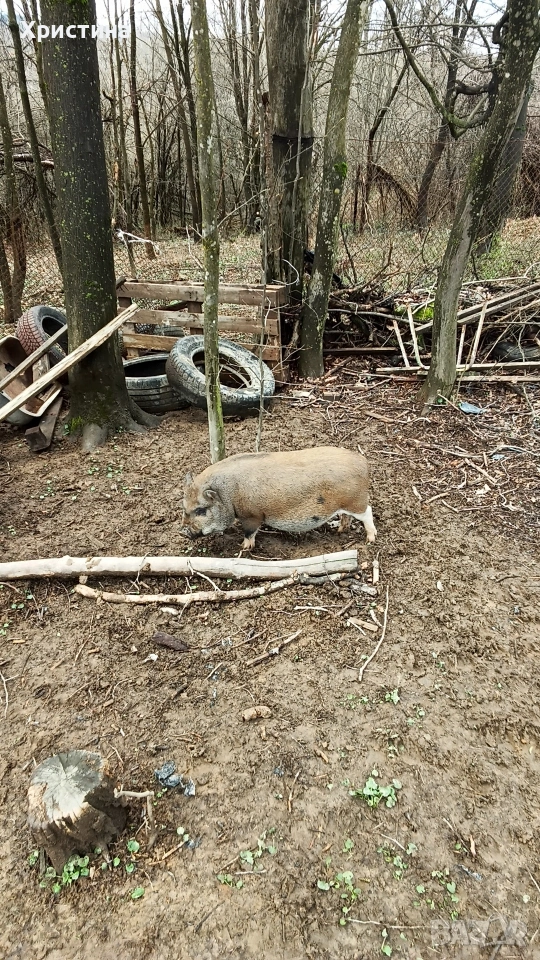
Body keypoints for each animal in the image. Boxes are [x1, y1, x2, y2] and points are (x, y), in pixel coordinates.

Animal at [181, 446, 377, 551]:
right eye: (184, 507)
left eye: (201, 510)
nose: (182, 531)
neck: (229, 493)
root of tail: (364, 462)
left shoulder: (252, 515)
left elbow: (249, 532)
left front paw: (243, 547)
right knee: (346, 516)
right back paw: (339, 531)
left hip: (356, 502)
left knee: (368, 512)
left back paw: (370, 540)